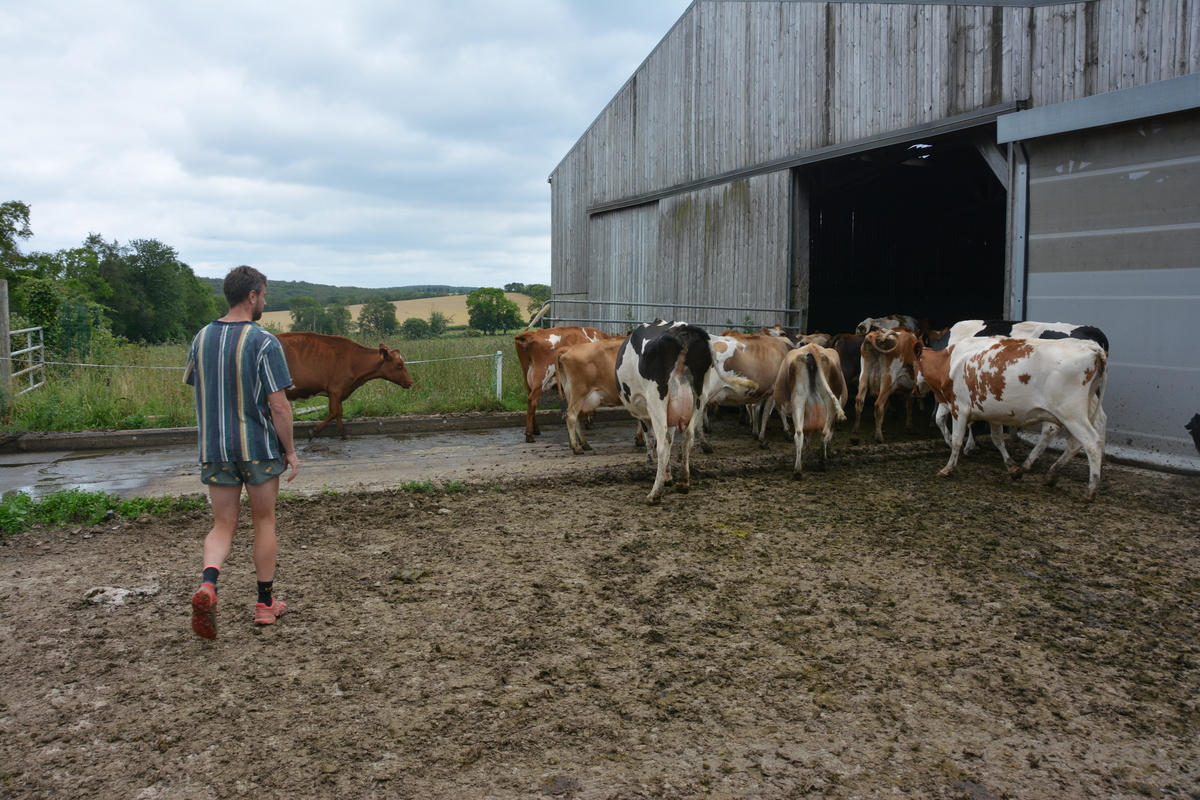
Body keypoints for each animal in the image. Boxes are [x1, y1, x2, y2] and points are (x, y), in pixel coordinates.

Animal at [276, 333, 412, 441]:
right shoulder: (335, 389)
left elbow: (339, 411)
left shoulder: (341, 391)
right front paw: (312, 432)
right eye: (399, 364)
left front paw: (344, 433)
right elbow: (334, 412)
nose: (410, 382)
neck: (353, 361)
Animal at [614, 316, 715, 501]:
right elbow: (672, 437)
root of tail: (683, 328)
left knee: (662, 444)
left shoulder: (645, 415)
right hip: (700, 395)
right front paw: (668, 477)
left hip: (657, 399)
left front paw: (654, 469)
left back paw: (655, 494)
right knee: (688, 437)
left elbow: (651, 440)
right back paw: (683, 482)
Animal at [772, 343, 849, 479]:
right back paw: (821, 461)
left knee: (801, 433)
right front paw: (828, 452)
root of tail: (812, 347)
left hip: (800, 398)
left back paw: (799, 470)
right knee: (824, 432)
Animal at [916, 333, 1104, 496]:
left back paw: (1091, 490)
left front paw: (948, 468)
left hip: (1071, 413)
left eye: (913, 365)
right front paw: (1013, 469)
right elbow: (997, 439)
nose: (915, 391)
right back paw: (1051, 475)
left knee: (1091, 442)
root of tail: (1092, 347)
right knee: (1077, 442)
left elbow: (956, 441)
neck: (948, 362)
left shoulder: (959, 408)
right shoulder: (992, 412)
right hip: (1083, 412)